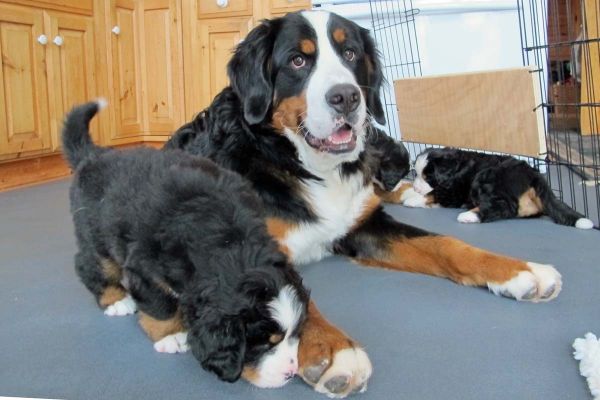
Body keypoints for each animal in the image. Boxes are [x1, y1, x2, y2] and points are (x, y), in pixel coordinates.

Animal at [63, 100, 312, 388]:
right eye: (263, 344)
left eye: (296, 334)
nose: (290, 373)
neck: (230, 240)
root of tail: (94, 154)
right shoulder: (145, 270)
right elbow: (160, 306)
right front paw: (170, 335)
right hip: (95, 233)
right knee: (89, 265)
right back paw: (116, 300)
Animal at [163, 9, 564, 396]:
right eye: (297, 60)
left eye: (351, 54)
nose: (346, 97)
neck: (305, 164)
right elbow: (295, 293)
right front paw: (332, 352)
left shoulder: (366, 225)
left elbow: (445, 244)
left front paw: (516, 271)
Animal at [400, 148, 592, 230]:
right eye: (416, 174)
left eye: (428, 177)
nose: (416, 186)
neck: (456, 168)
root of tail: (533, 174)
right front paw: (409, 190)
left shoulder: (453, 192)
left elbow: (433, 193)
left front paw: (412, 198)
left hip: (487, 177)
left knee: (504, 207)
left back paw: (469, 216)